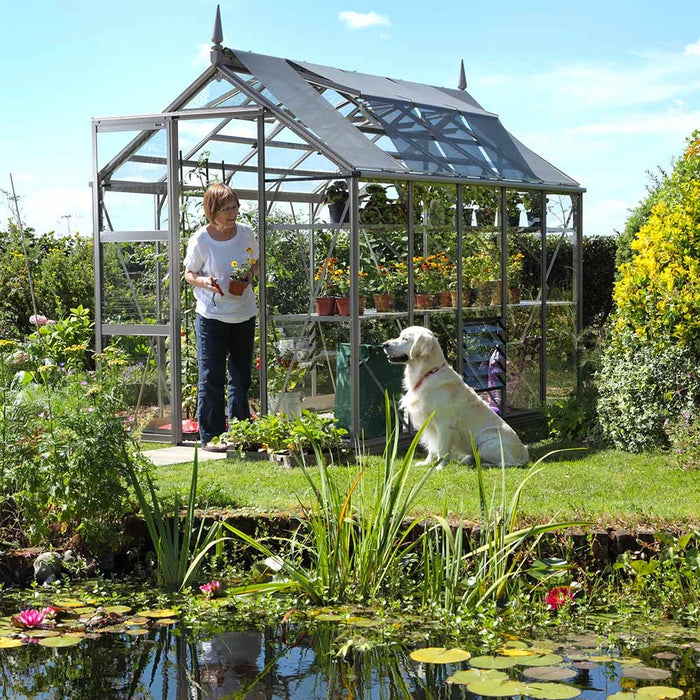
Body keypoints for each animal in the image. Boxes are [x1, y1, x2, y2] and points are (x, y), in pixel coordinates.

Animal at [386, 326, 528, 468]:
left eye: (405, 339)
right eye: (400, 336)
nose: (384, 344)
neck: (427, 374)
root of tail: (524, 454)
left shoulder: (443, 423)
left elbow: (442, 448)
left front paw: (439, 467)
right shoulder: (429, 424)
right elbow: (432, 447)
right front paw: (426, 463)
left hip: (485, 443)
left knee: (506, 463)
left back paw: (483, 464)